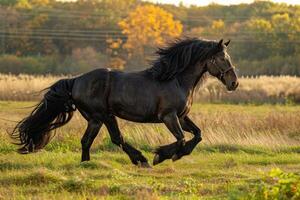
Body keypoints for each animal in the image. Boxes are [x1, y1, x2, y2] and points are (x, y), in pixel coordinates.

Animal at [10, 38, 238, 167]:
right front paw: (161, 156)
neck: (176, 79)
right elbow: (181, 139)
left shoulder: (182, 116)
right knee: (112, 138)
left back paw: (90, 163)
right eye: (222, 58)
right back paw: (141, 160)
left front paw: (175, 155)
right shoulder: (169, 116)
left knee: (92, 140)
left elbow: (198, 134)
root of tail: (76, 80)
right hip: (102, 116)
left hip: (98, 119)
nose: (234, 83)